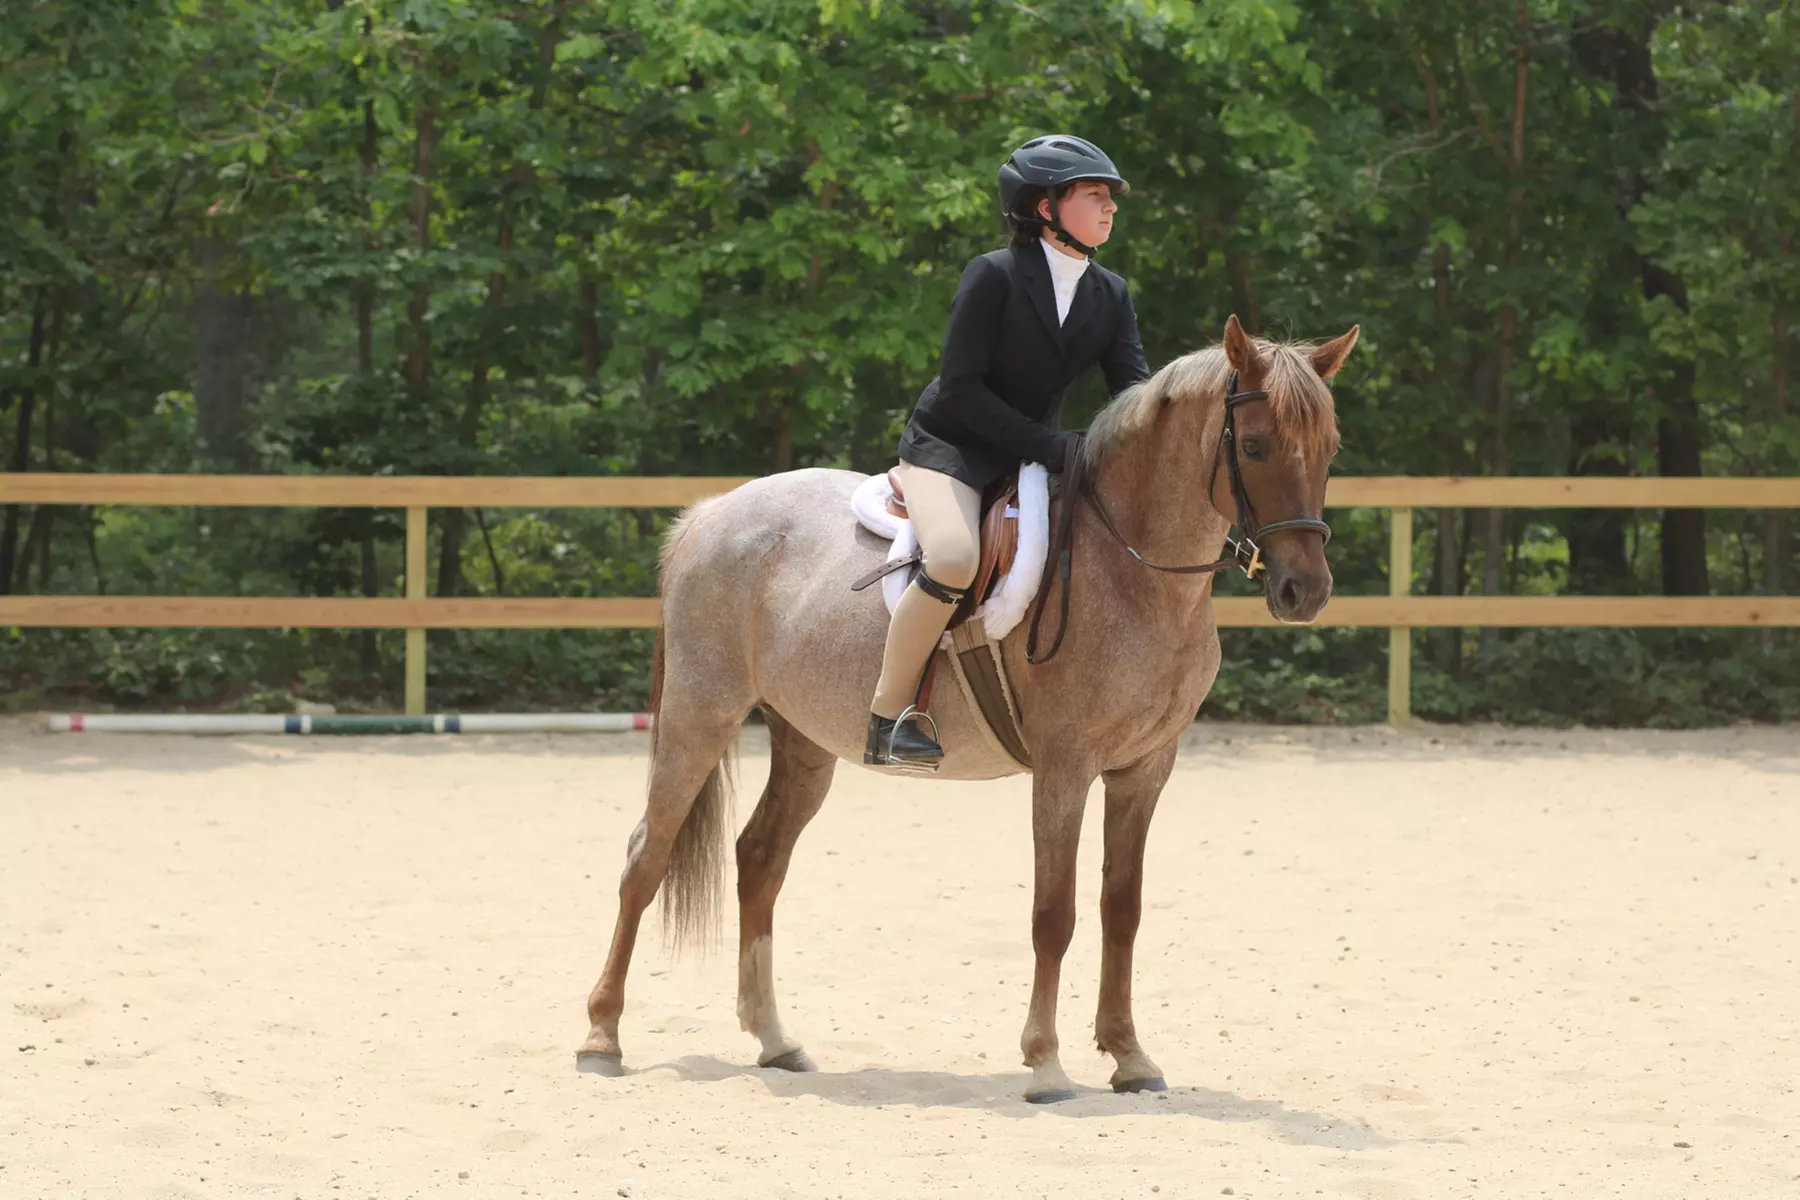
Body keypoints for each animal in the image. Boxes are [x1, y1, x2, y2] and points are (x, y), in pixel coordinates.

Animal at [576, 314, 1358, 1102]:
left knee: (760, 860)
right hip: (700, 715)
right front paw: (1045, 1063)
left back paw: (774, 1040)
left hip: (805, 742)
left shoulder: (1145, 769)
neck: (1132, 571)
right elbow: (1054, 913)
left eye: (1330, 448)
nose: (1305, 591)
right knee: (646, 856)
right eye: (1253, 446)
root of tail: (711, 513)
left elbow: (1122, 909)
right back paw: (601, 1038)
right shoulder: (1065, 769)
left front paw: (1130, 1056)